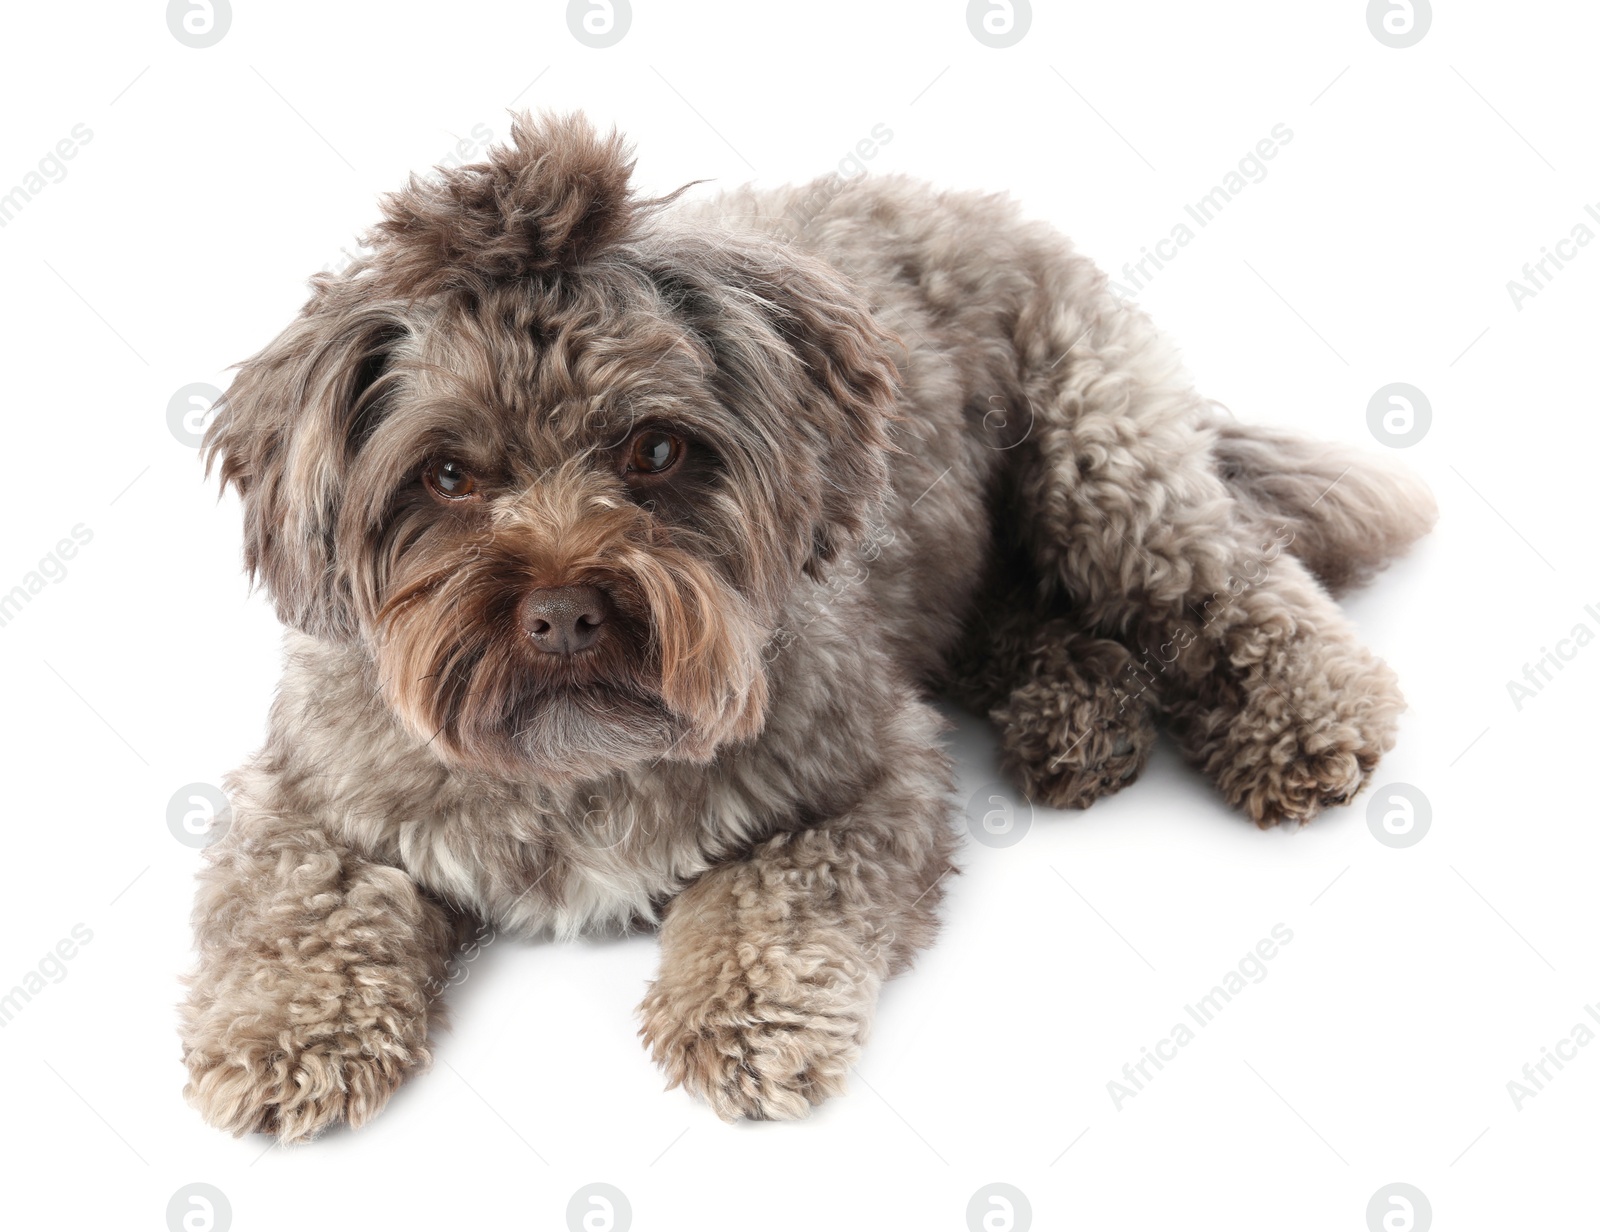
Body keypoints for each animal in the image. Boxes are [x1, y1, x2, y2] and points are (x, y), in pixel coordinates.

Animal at [178, 110, 1440, 1139]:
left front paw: (740, 1014)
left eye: (655, 448)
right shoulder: (308, 794)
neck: (579, 763)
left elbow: (773, 891)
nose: (565, 609)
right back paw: (1077, 714)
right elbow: (299, 907)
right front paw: (283, 1033)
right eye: (445, 473)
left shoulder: (868, 779)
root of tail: (994, 206)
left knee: (1231, 576)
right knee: (1022, 616)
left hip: (1103, 467)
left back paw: (1303, 716)